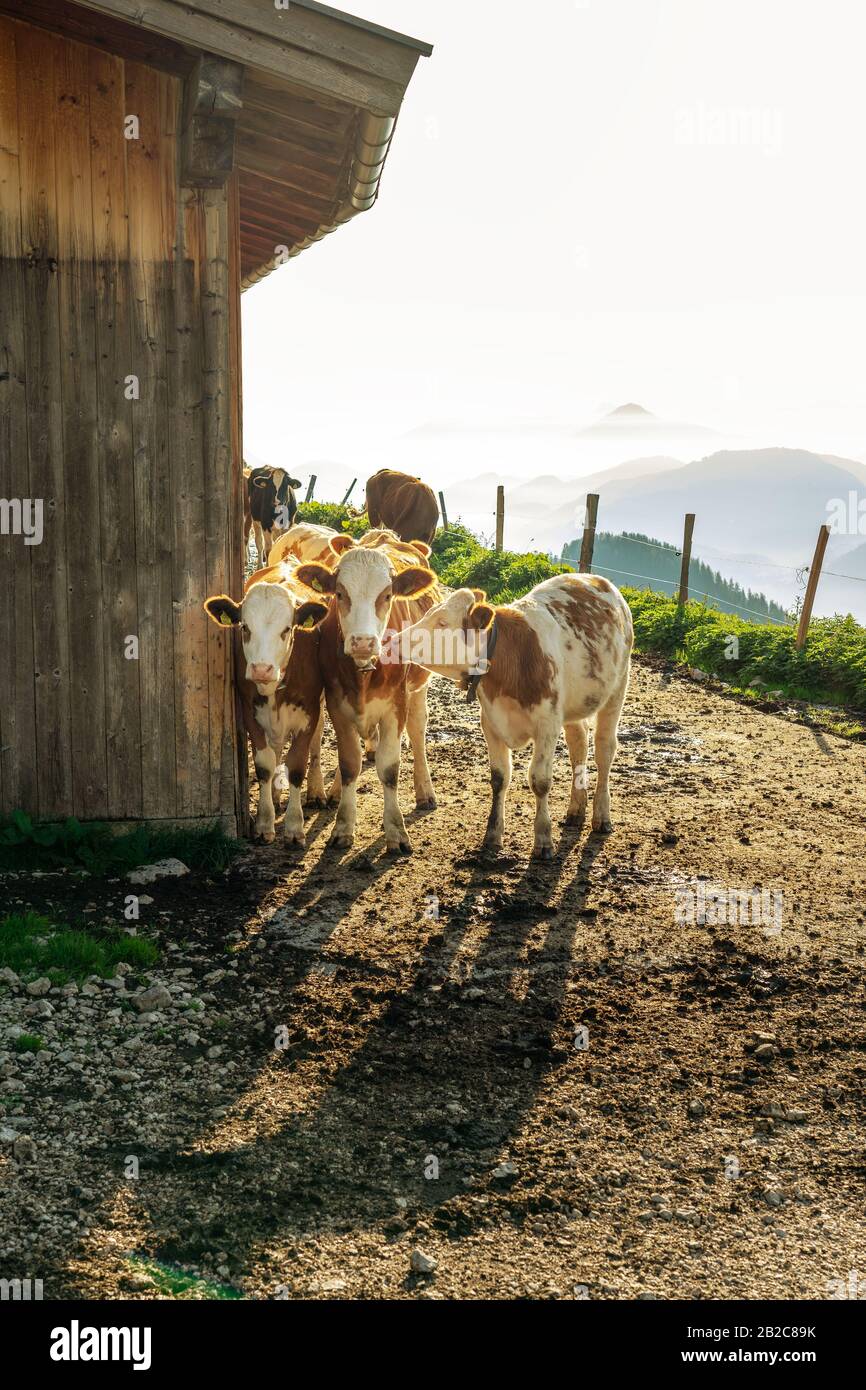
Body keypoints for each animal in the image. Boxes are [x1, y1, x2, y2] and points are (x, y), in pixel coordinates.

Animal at [202, 556, 328, 839]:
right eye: (244, 627)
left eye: (287, 629)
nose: (262, 669)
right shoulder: (249, 712)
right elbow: (265, 764)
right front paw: (263, 822)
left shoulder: (309, 711)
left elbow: (296, 764)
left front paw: (294, 826)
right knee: (276, 749)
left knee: (315, 743)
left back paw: (317, 792)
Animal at [297, 544, 444, 850]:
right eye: (340, 594)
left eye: (387, 595)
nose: (363, 642)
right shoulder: (337, 704)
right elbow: (349, 763)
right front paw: (343, 826)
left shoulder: (396, 705)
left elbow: (389, 768)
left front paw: (396, 831)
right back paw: (336, 791)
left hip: (418, 689)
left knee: (417, 730)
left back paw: (425, 791)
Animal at [403, 569, 633, 850]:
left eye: (443, 623)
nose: (397, 639)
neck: (511, 657)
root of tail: (596, 578)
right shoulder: (491, 723)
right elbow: (499, 777)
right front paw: (492, 834)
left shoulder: (547, 725)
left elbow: (540, 781)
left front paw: (543, 840)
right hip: (574, 706)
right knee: (578, 744)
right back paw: (576, 810)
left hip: (617, 690)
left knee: (604, 750)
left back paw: (601, 815)